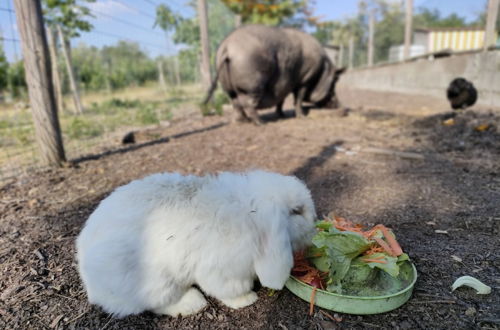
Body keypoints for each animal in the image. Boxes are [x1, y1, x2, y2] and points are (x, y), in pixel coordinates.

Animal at [75, 170, 314, 318]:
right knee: (156, 304)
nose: (314, 225)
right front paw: (247, 299)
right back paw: (193, 302)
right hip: (156, 281)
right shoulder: (222, 271)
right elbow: (230, 290)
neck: (251, 214)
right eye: (297, 211)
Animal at [202, 24, 344, 125]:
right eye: (335, 82)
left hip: (227, 85)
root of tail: (227, 47)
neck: (321, 71)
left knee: (235, 102)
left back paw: (240, 122)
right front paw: (302, 116)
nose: (340, 105)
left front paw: (282, 115)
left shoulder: (284, 85)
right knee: (248, 104)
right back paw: (261, 123)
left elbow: (281, 100)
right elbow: (298, 99)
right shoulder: (305, 80)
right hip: (252, 84)